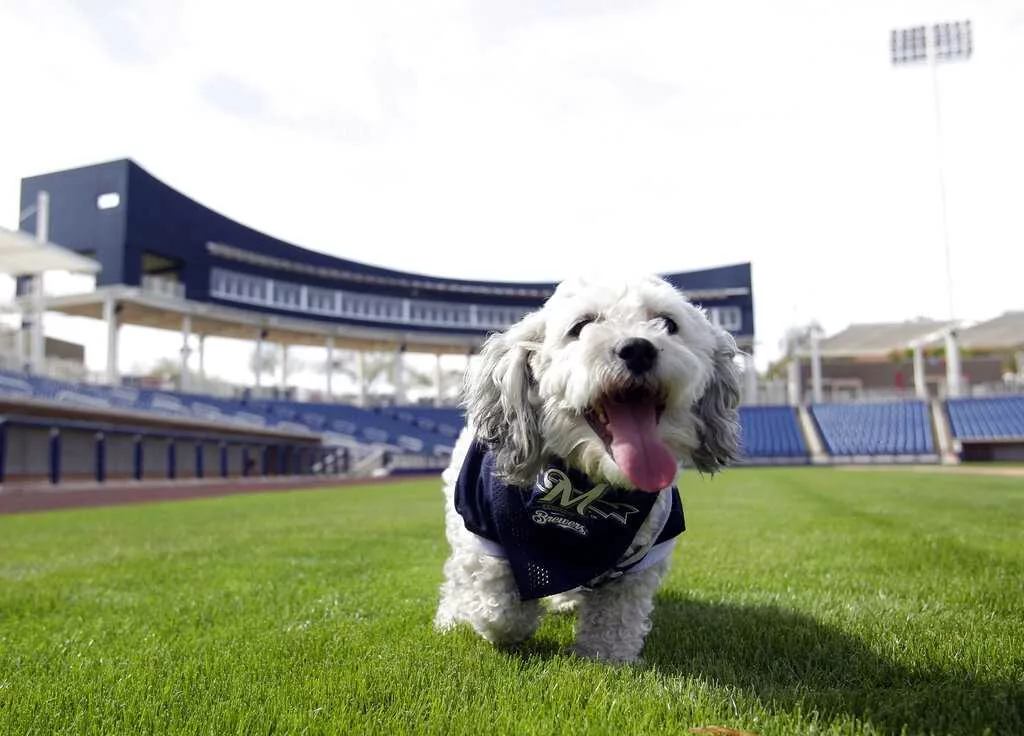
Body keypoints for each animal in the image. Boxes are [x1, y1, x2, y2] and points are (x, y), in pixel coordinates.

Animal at [434, 274, 745, 663]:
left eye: (668, 324)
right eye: (581, 326)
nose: (638, 349)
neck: (585, 490)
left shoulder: (643, 553)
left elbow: (615, 615)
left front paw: (604, 656)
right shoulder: (483, 531)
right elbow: (501, 609)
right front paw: (505, 619)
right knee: (458, 578)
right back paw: (452, 617)